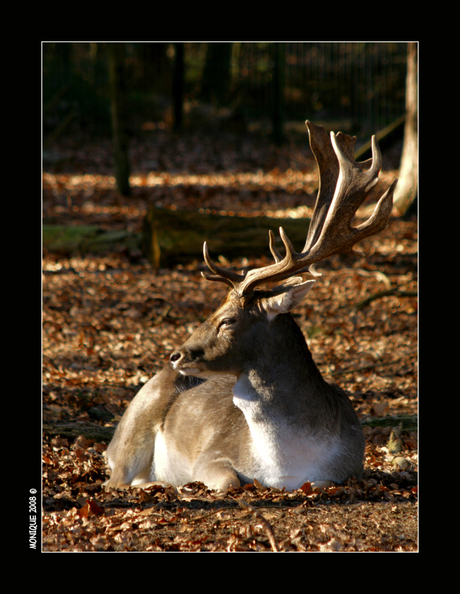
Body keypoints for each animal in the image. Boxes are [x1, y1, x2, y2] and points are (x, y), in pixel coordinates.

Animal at [104, 119, 396, 490]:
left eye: (227, 319)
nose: (176, 355)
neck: (285, 466)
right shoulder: (211, 454)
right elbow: (230, 480)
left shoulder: (349, 468)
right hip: (130, 431)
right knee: (114, 480)